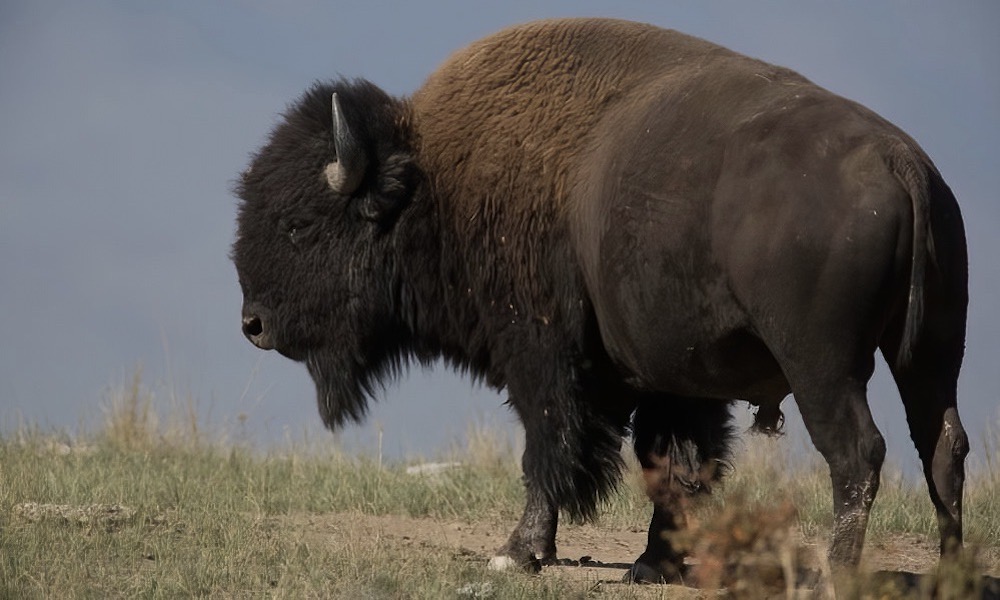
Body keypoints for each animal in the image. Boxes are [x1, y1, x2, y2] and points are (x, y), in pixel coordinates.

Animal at [232, 17, 968, 580]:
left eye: (299, 224)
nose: (253, 323)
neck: (434, 181)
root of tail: (903, 161)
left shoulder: (542, 357)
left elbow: (548, 452)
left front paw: (517, 553)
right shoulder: (676, 380)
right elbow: (673, 464)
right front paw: (653, 564)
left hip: (823, 366)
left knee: (858, 453)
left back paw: (835, 573)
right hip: (930, 355)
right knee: (943, 448)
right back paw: (952, 569)